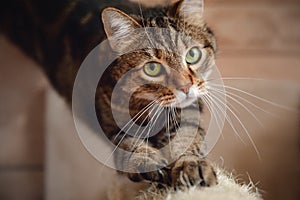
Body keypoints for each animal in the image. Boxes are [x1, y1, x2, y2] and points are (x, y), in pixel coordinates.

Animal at [0, 0, 218, 191]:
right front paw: (145, 159)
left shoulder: (189, 112)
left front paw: (190, 164)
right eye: (152, 68)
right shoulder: (112, 126)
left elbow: (187, 138)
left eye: (192, 55)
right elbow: (129, 145)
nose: (186, 87)